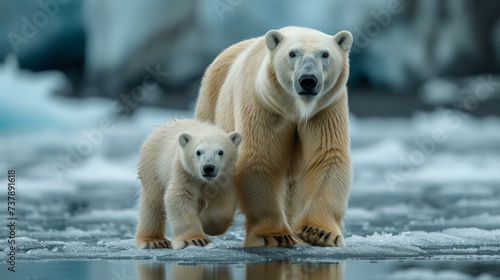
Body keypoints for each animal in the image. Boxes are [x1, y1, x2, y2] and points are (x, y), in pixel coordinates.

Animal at [135, 119, 240, 250]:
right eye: (198, 152)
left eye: (220, 152)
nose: (208, 168)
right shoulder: (184, 171)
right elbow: (180, 197)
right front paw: (195, 240)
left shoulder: (224, 178)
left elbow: (224, 201)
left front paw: (205, 222)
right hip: (153, 166)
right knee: (153, 202)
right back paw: (154, 241)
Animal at [193, 26, 354, 247]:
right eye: (292, 53)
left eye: (325, 54)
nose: (308, 80)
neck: (295, 108)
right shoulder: (263, 106)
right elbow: (261, 158)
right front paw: (275, 235)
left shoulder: (324, 110)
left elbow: (326, 157)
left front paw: (319, 232)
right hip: (211, 101)